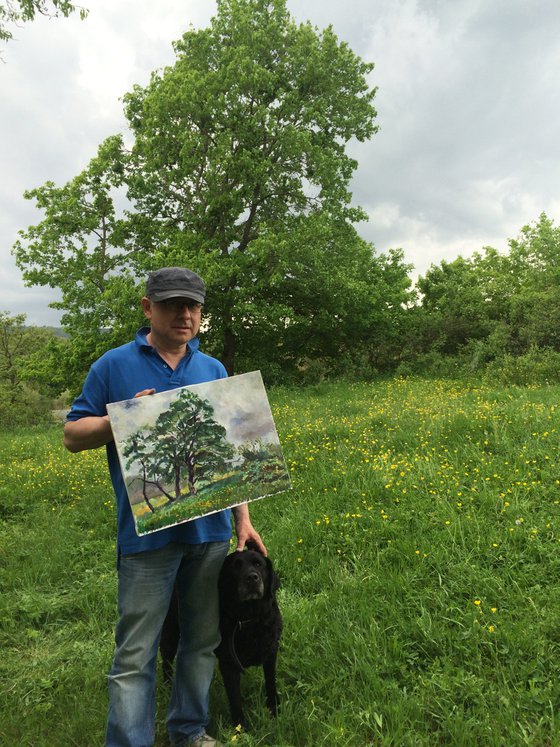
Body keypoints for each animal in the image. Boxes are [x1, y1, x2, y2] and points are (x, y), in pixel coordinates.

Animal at [159, 548, 282, 728]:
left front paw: (274, 711)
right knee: (166, 661)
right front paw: (240, 728)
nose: (252, 578)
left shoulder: (270, 653)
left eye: (259, 564)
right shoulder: (229, 664)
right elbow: (235, 699)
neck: (249, 619)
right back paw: (167, 687)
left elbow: (271, 683)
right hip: (170, 631)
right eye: (235, 566)